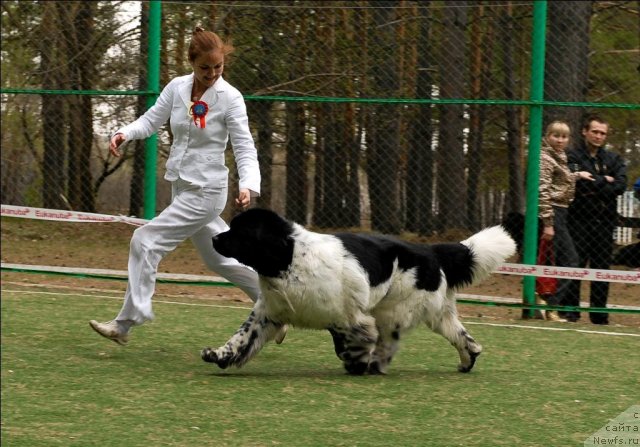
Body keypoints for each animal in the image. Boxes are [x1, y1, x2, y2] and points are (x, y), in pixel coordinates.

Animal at [202, 209, 516, 374]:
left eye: (240, 232)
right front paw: (219, 355)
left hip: (394, 310)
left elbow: (352, 340)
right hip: (435, 312)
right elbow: (242, 338)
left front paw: (356, 361)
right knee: (461, 336)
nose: (214, 238)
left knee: (388, 342)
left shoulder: (349, 317)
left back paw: (374, 365)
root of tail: (429, 251)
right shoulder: (268, 314)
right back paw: (467, 360)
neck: (289, 259)